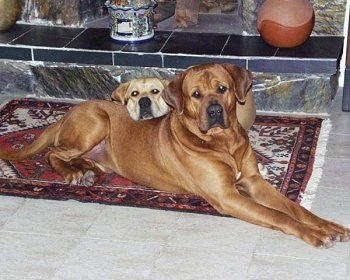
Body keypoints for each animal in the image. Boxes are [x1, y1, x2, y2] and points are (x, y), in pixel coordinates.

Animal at [0, 63, 348, 247]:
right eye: (195, 94)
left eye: (222, 88)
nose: (214, 111)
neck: (222, 142)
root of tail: (67, 113)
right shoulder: (227, 195)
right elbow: (278, 216)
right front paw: (315, 234)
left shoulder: (253, 181)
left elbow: (294, 208)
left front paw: (327, 226)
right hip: (96, 122)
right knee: (53, 153)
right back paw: (73, 172)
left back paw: (89, 170)